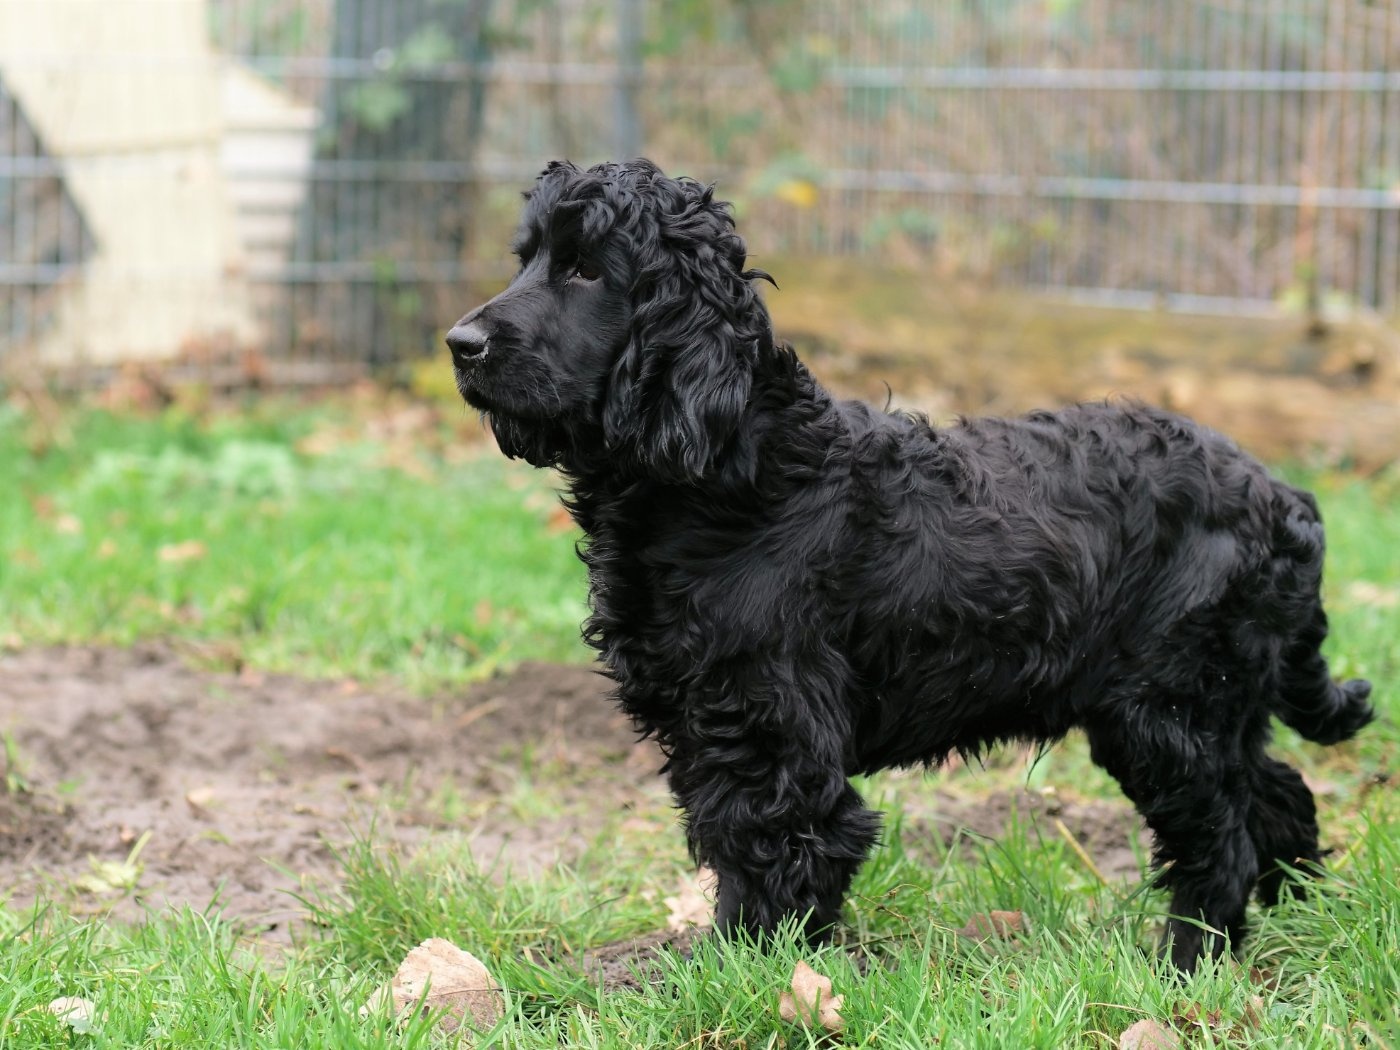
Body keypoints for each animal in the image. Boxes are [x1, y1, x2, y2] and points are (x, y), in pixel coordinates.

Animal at [448, 159, 1374, 971]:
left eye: (587, 270)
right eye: (527, 259)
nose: (460, 342)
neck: (734, 469)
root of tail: (1284, 497)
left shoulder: (772, 726)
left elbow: (777, 856)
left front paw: (741, 977)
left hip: (1166, 709)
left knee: (1221, 836)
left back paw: (1188, 964)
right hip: (1215, 704)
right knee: (1276, 793)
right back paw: (1302, 918)